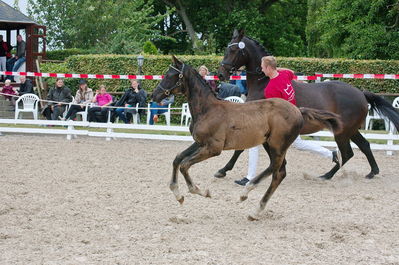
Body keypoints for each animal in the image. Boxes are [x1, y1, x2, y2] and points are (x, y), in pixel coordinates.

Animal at [152, 56, 342, 219]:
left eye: (171, 75)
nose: (154, 95)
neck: (208, 109)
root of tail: (298, 110)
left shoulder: (213, 148)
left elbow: (185, 165)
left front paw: (201, 191)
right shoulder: (200, 143)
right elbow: (178, 159)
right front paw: (178, 195)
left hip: (277, 145)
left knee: (276, 169)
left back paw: (248, 194)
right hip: (269, 144)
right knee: (279, 172)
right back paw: (256, 207)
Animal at [217, 29, 399, 179]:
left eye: (233, 50)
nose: (221, 74)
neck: (264, 81)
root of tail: (361, 93)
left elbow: (241, 148)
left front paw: (223, 170)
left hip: (342, 132)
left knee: (347, 153)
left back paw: (327, 175)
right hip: (351, 130)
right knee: (364, 146)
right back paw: (372, 172)